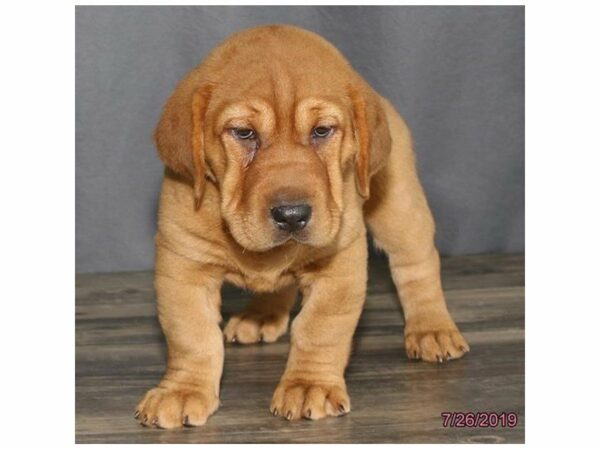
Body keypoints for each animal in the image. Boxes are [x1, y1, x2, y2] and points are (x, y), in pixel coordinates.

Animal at [135, 24, 468, 428]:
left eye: (322, 131)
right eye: (244, 133)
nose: (292, 215)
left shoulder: (339, 266)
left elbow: (319, 329)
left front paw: (310, 385)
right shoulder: (182, 266)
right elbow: (192, 336)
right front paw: (183, 390)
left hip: (400, 206)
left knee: (418, 266)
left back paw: (432, 328)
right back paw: (261, 315)